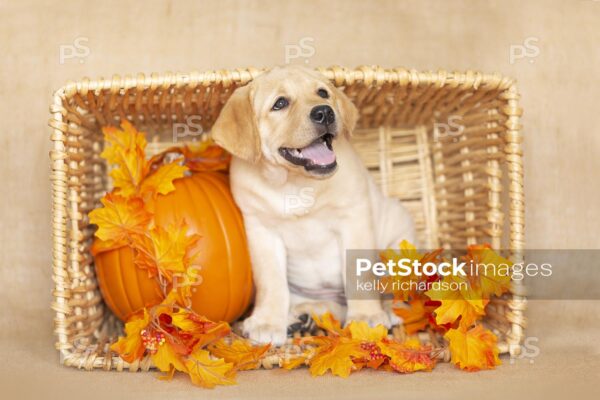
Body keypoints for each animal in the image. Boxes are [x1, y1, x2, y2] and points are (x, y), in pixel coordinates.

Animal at [210, 65, 412, 344]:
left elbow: (358, 274)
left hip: (400, 237)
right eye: (280, 103)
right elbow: (271, 282)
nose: (324, 112)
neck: (294, 183)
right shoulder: (261, 230)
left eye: (323, 93)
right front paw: (267, 321)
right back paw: (303, 318)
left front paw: (366, 316)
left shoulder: (354, 218)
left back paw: (391, 311)